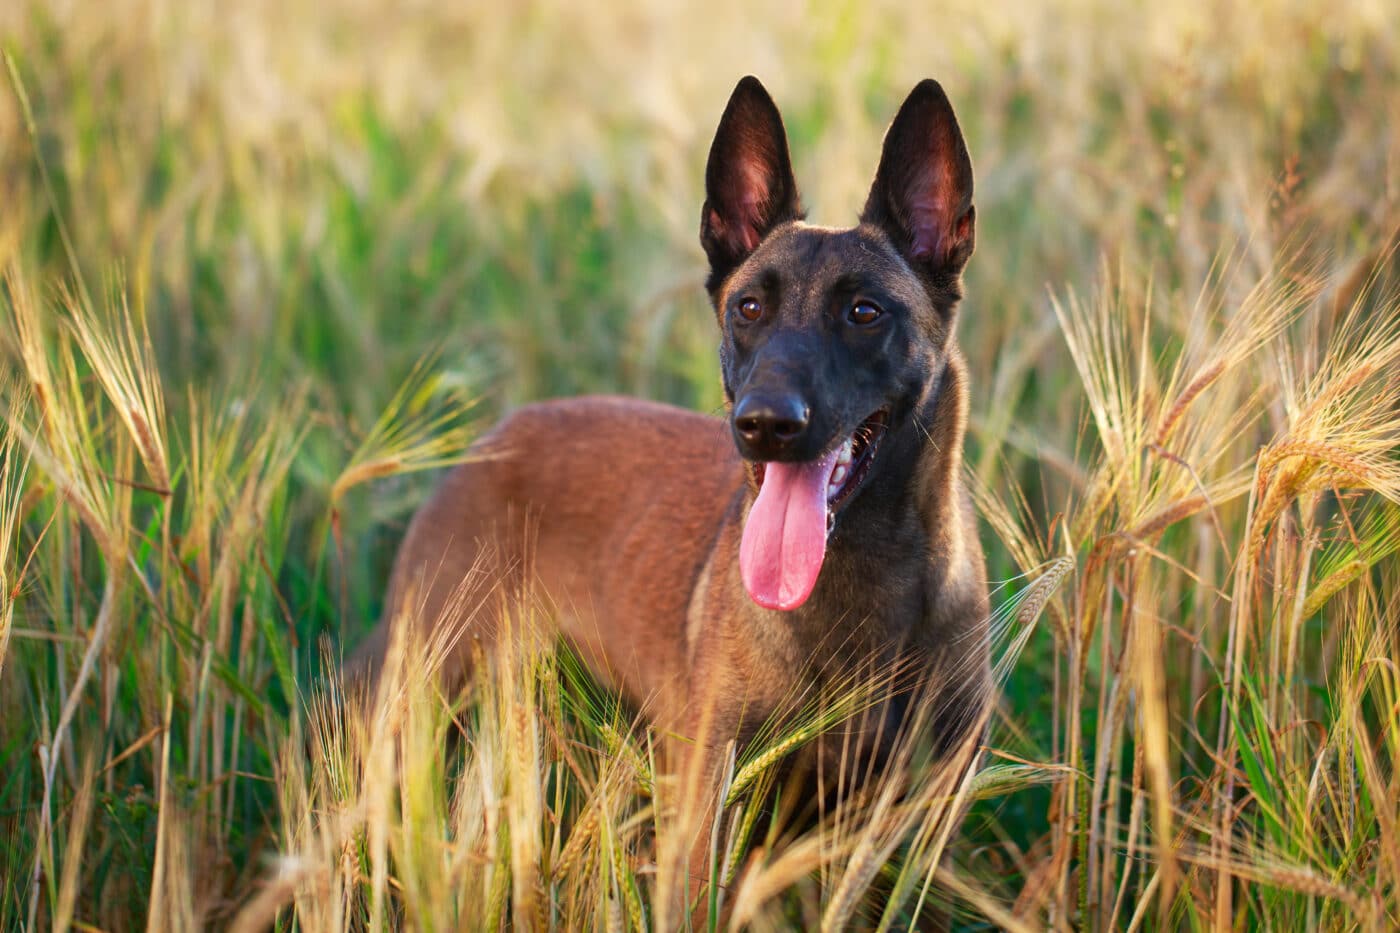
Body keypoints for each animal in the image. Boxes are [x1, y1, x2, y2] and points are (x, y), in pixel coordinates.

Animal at [352, 74, 985, 913]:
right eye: (749, 308)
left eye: (864, 312)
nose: (764, 423)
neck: (858, 588)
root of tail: (495, 437)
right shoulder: (706, 822)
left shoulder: (912, 833)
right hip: (421, 700)